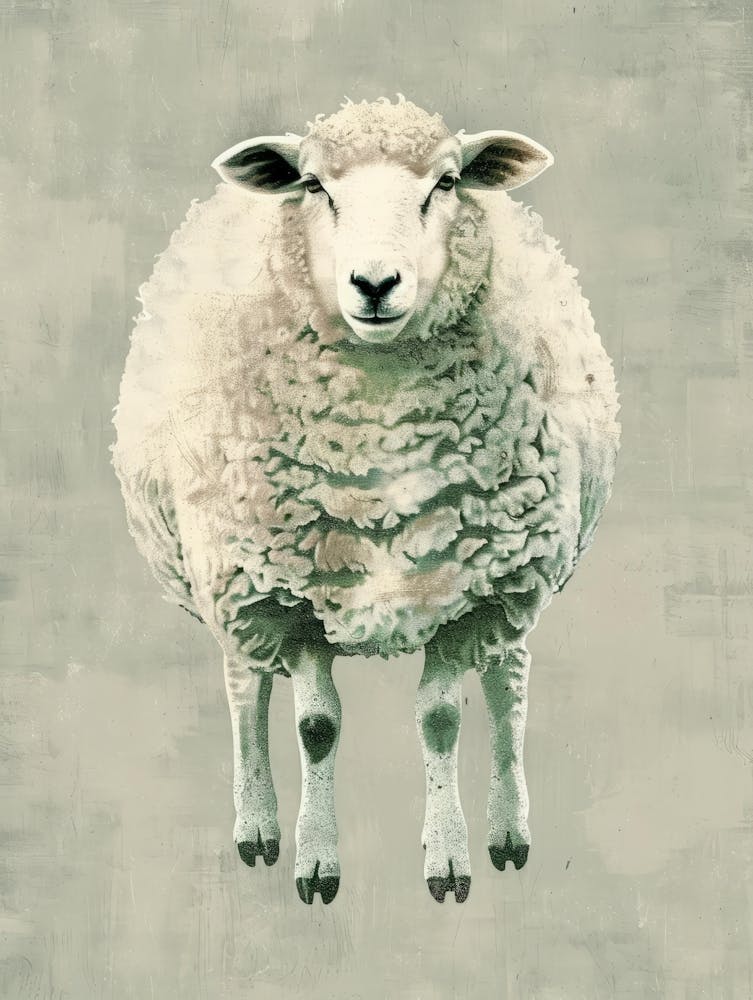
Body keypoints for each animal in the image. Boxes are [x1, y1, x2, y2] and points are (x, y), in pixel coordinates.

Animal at [112, 95, 620, 906]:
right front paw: (316, 861)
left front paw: (448, 857)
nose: (374, 283)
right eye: (315, 186)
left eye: (445, 182)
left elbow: (442, 719)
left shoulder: (472, 591)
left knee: (508, 682)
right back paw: (256, 823)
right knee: (244, 688)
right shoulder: (287, 592)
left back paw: (509, 829)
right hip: (227, 575)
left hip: (519, 570)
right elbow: (316, 727)